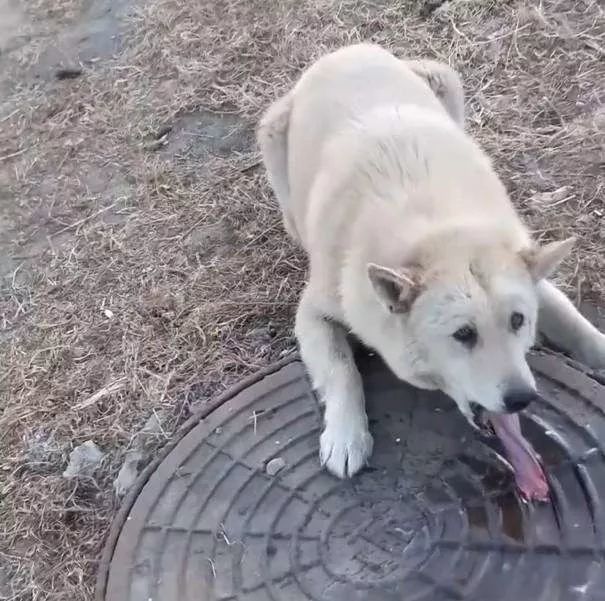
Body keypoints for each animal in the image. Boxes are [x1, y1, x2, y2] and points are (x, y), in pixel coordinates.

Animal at [256, 44, 604, 480]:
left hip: (447, 82)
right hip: (273, 142)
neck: (434, 234)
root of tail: (348, 49)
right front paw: (346, 437)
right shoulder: (314, 312)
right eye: (463, 334)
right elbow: (341, 371)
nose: (522, 398)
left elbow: (580, 328)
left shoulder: (533, 277)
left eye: (518, 321)